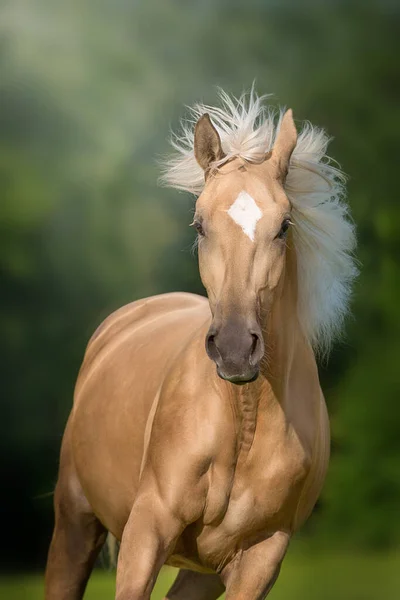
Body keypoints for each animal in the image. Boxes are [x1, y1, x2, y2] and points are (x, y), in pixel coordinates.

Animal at [43, 90, 356, 600]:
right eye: (199, 225)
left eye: (284, 226)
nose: (234, 349)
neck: (242, 417)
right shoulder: (147, 527)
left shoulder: (263, 554)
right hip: (75, 520)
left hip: (199, 572)